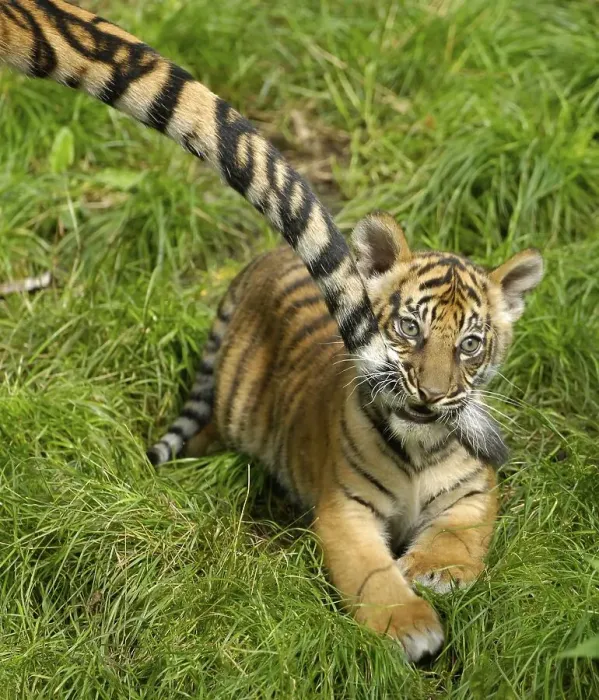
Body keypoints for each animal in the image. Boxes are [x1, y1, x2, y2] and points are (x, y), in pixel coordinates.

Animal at [148, 212, 543, 662]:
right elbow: (373, 575)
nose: (431, 394)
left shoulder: (474, 491)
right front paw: (408, 626)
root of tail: (270, 254)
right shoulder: (346, 507)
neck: (419, 448)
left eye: (470, 344)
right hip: (233, 409)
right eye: (410, 327)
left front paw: (436, 572)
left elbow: (456, 535)